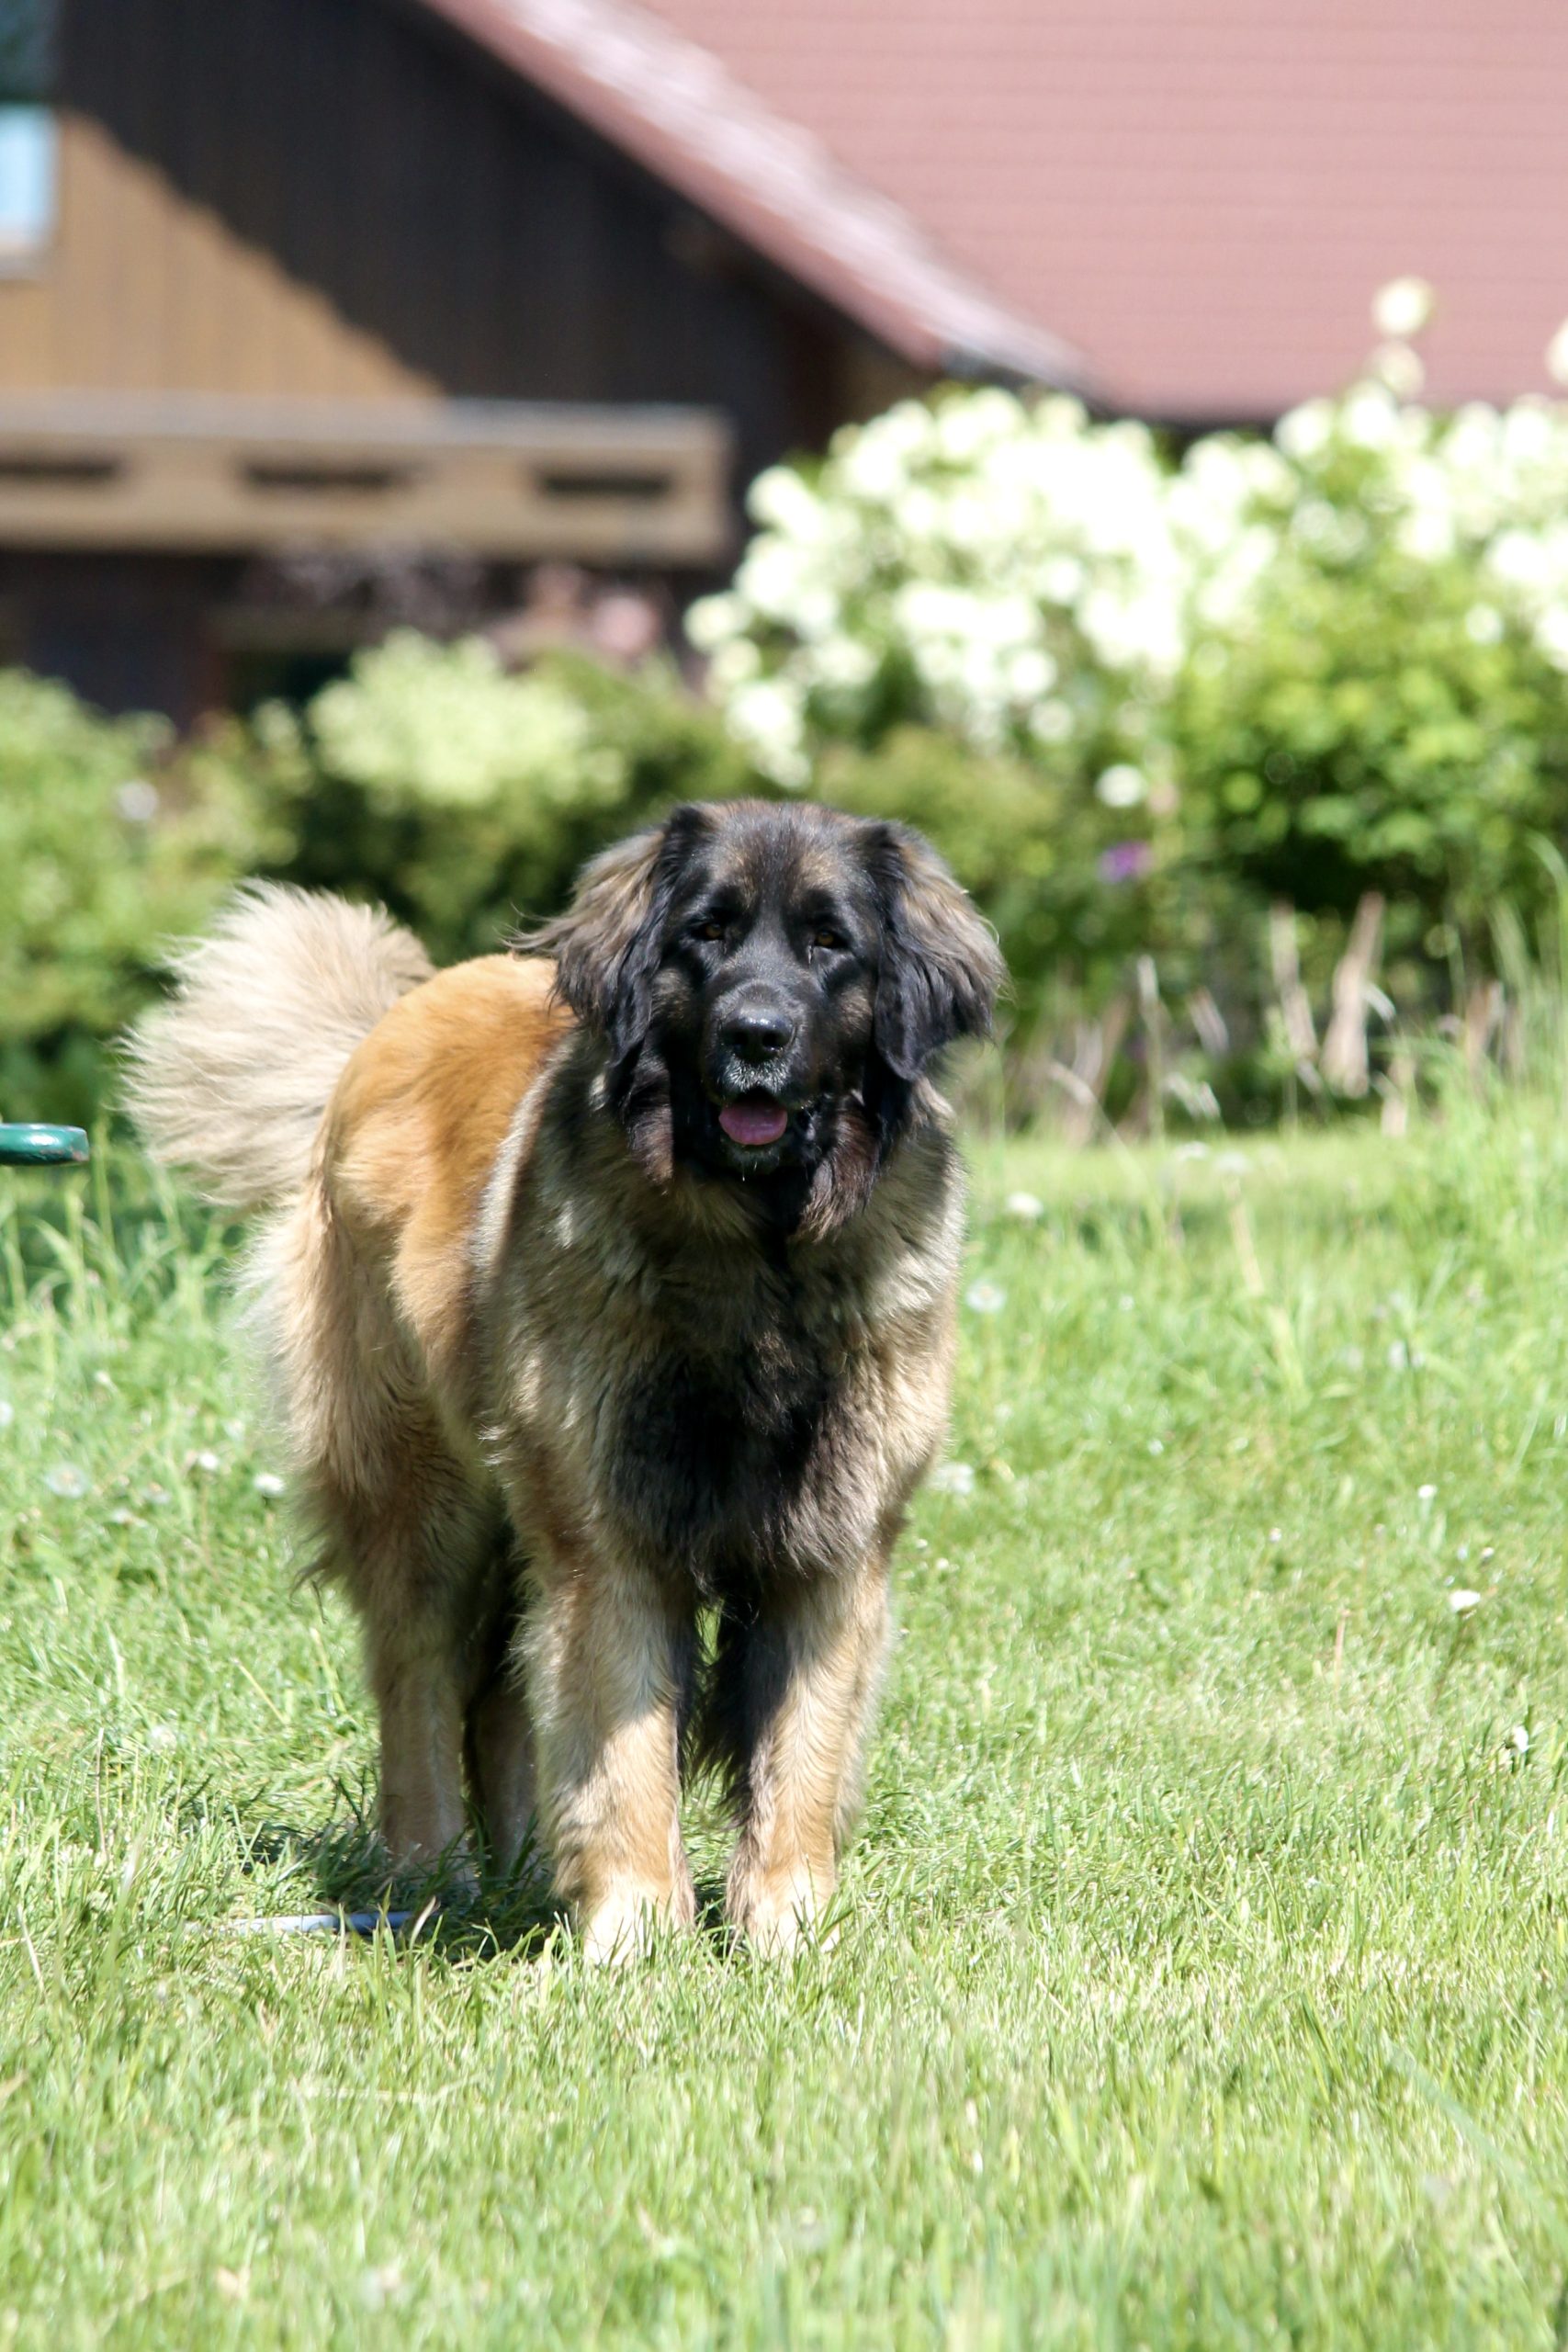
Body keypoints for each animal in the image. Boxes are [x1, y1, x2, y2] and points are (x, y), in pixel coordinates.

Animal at [128, 799, 1002, 1957]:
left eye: (831, 944)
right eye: (706, 934)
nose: (756, 1036)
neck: (757, 1260)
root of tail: (389, 1019)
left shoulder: (836, 1548)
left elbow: (801, 1752)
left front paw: (786, 1929)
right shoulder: (610, 1538)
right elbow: (623, 1743)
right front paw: (635, 1932)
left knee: (499, 1695)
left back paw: (524, 1866)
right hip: (428, 1492)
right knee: (419, 1676)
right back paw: (435, 1877)